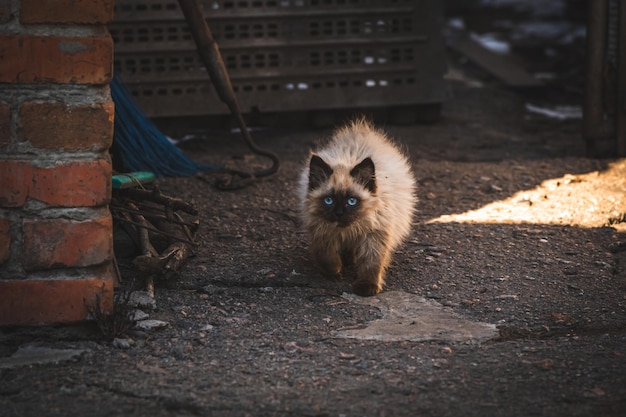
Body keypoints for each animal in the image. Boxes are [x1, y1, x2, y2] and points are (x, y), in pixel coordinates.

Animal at [298, 118, 414, 296]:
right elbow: (327, 257)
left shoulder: (374, 237)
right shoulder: (321, 232)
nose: (339, 213)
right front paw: (335, 271)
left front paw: (366, 288)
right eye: (329, 200)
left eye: (352, 201)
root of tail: (361, 129)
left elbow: (370, 264)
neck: (347, 230)